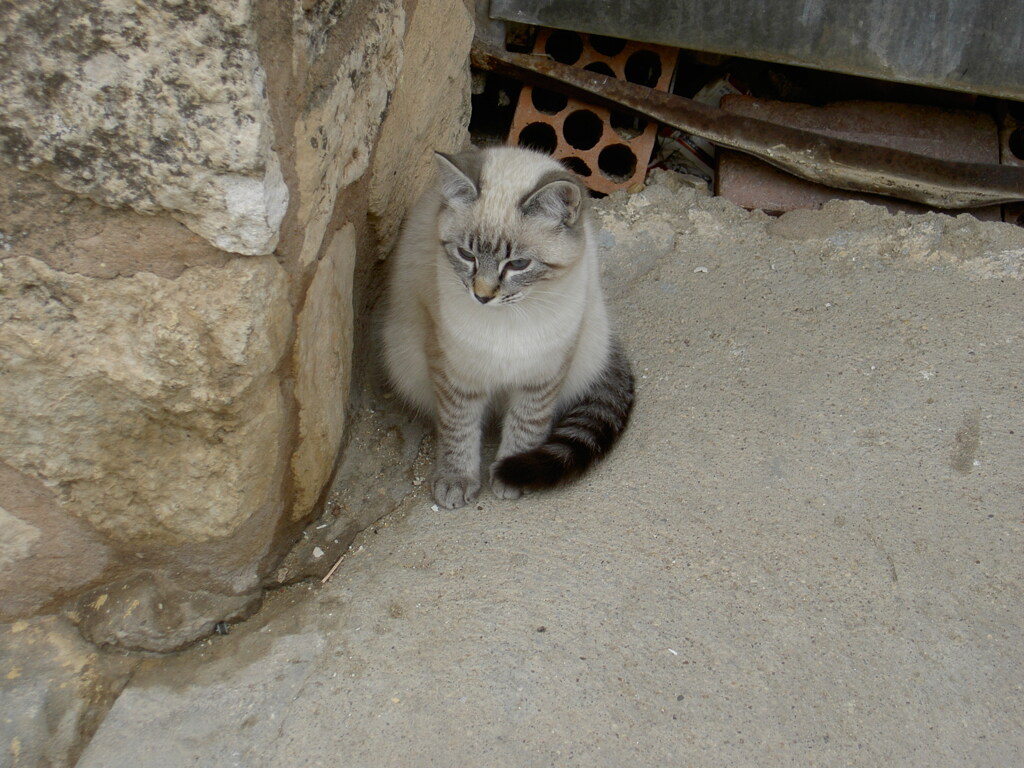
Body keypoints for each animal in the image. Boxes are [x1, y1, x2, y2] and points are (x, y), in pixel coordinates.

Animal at [380, 148, 626, 512]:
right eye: (466, 255)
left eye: (518, 265)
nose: (482, 296)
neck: (509, 319)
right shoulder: (456, 374)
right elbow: (458, 430)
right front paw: (456, 481)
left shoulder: (543, 373)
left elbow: (527, 425)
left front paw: (509, 474)